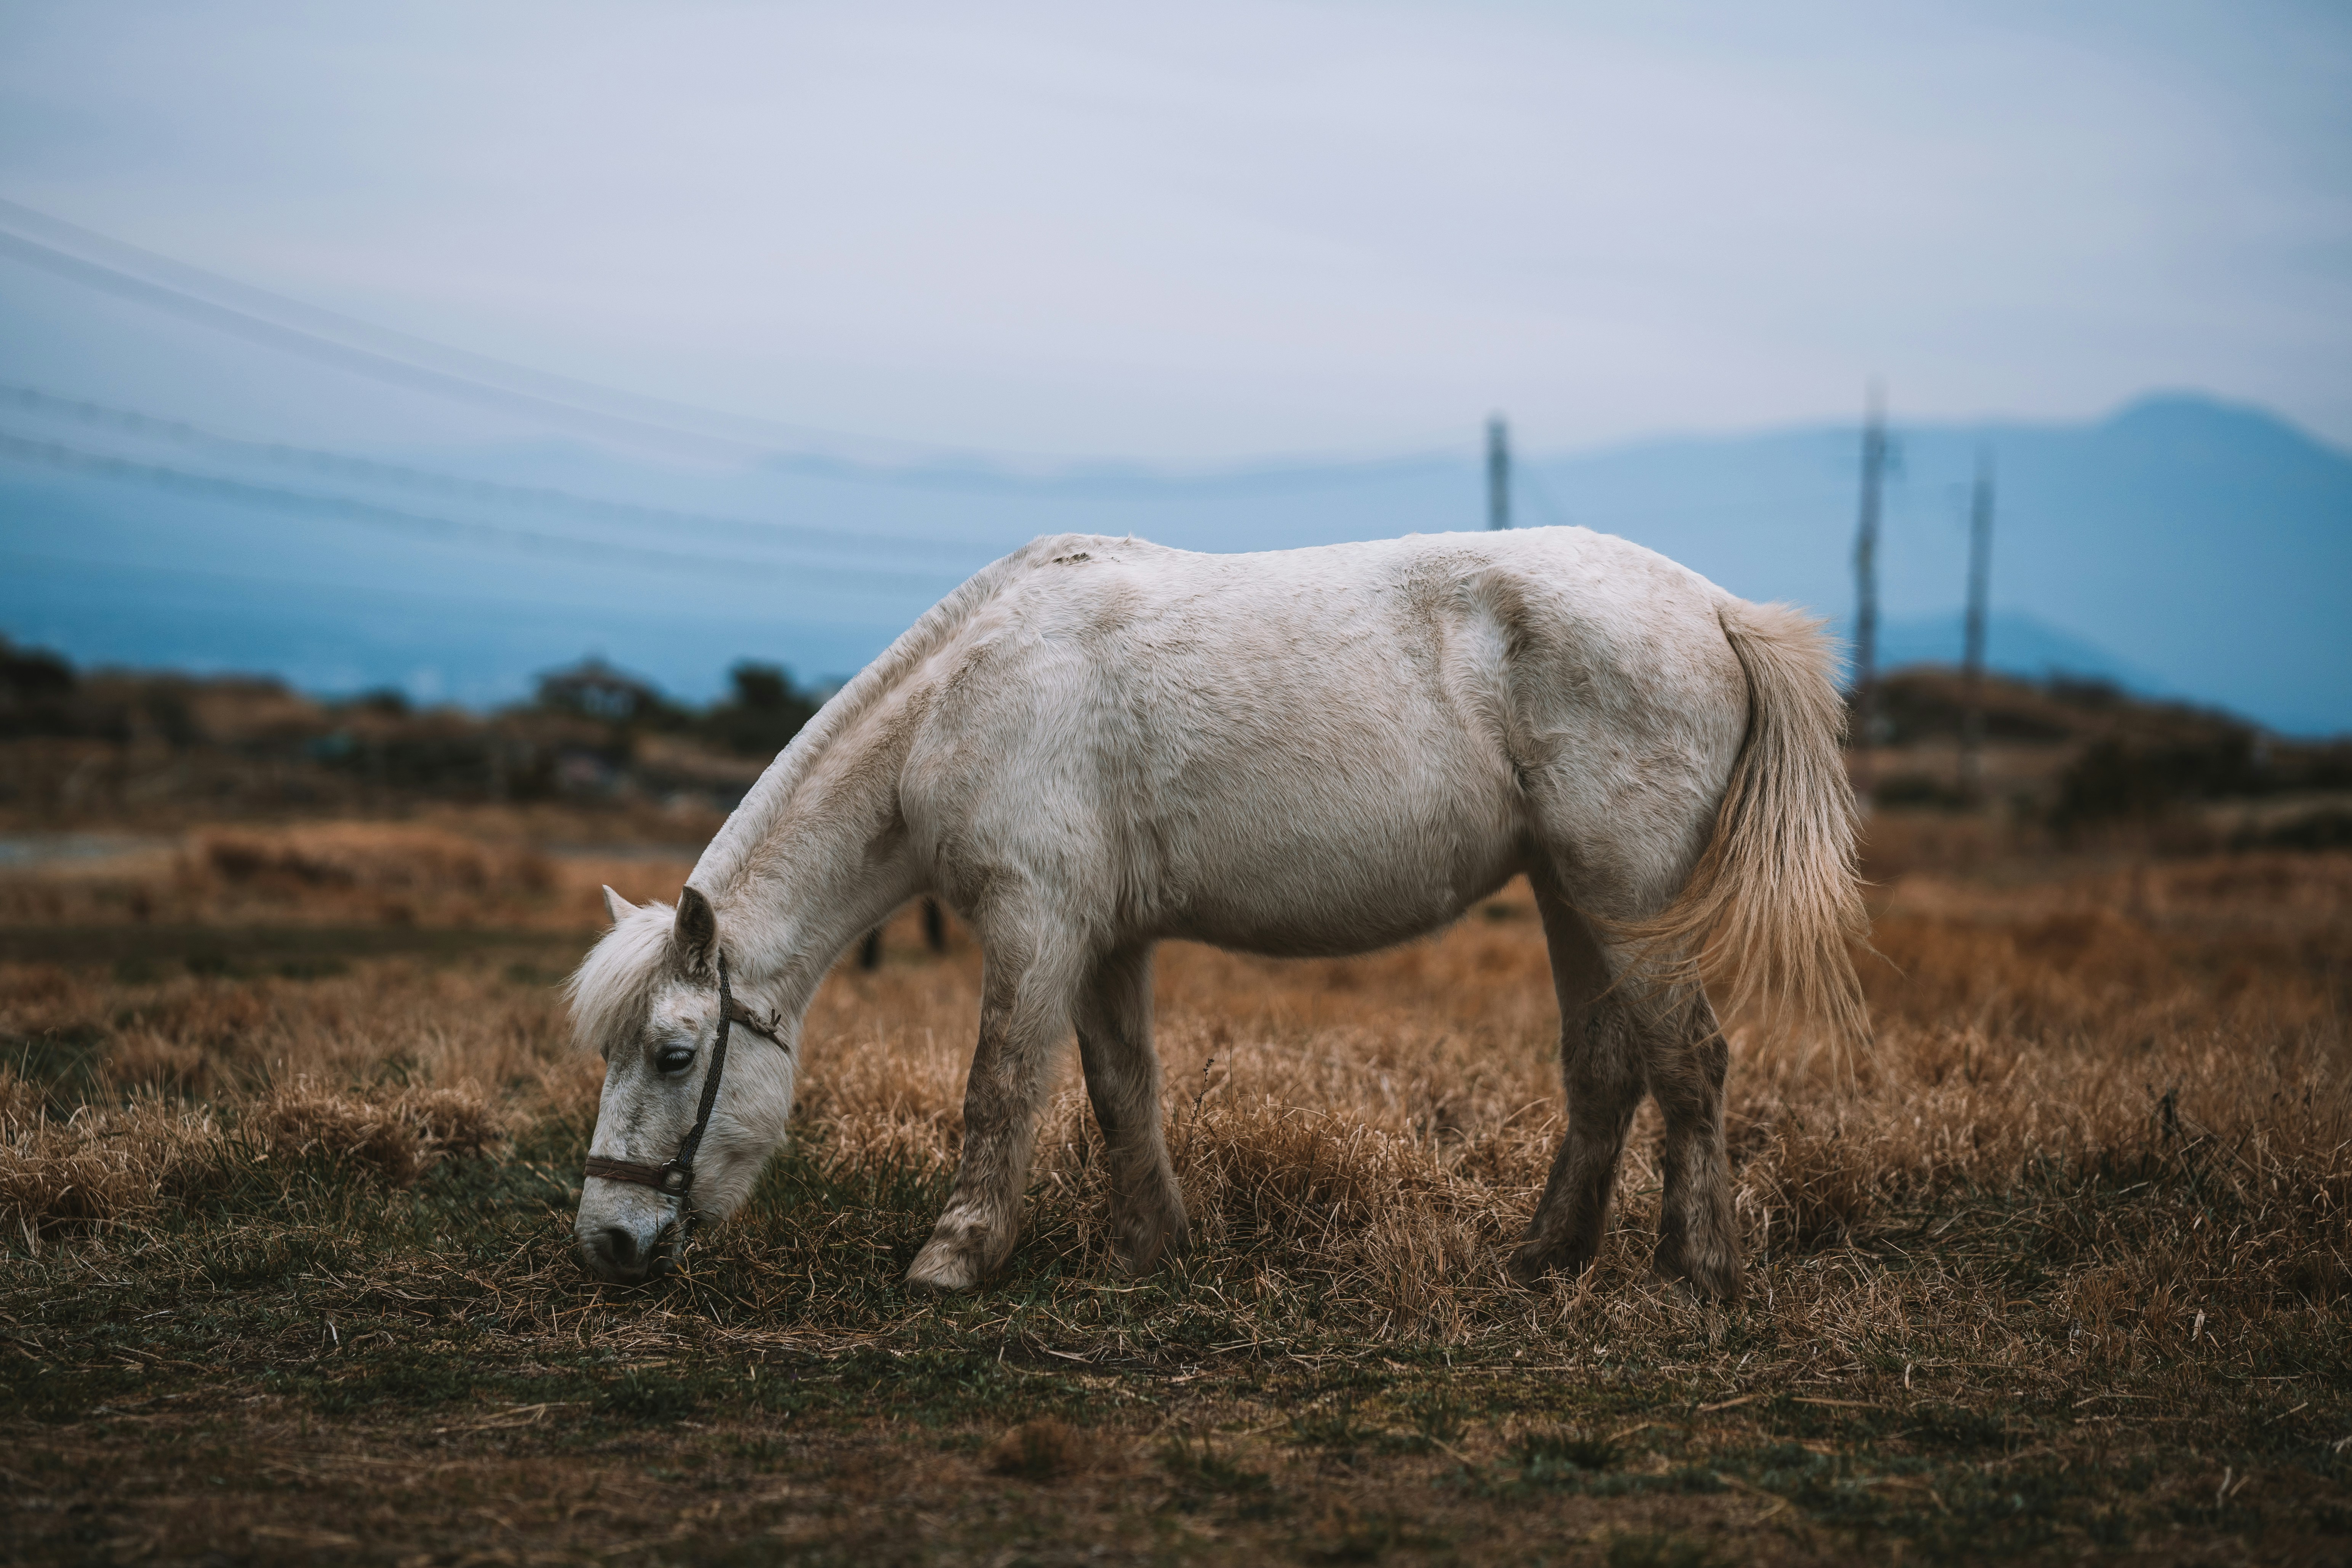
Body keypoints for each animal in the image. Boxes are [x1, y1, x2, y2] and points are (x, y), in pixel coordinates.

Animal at [568, 527, 1867, 1298]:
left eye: (675, 1053)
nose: (607, 1239)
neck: (965, 695)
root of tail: (1716, 609)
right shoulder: (1103, 942)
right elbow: (1117, 1086)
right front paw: (1148, 1244)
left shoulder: (1035, 924)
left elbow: (1001, 1086)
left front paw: (955, 1253)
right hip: (1575, 894)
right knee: (1608, 1065)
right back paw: (1547, 1255)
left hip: (1625, 888)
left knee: (1690, 1061)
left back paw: (1697, 1270)